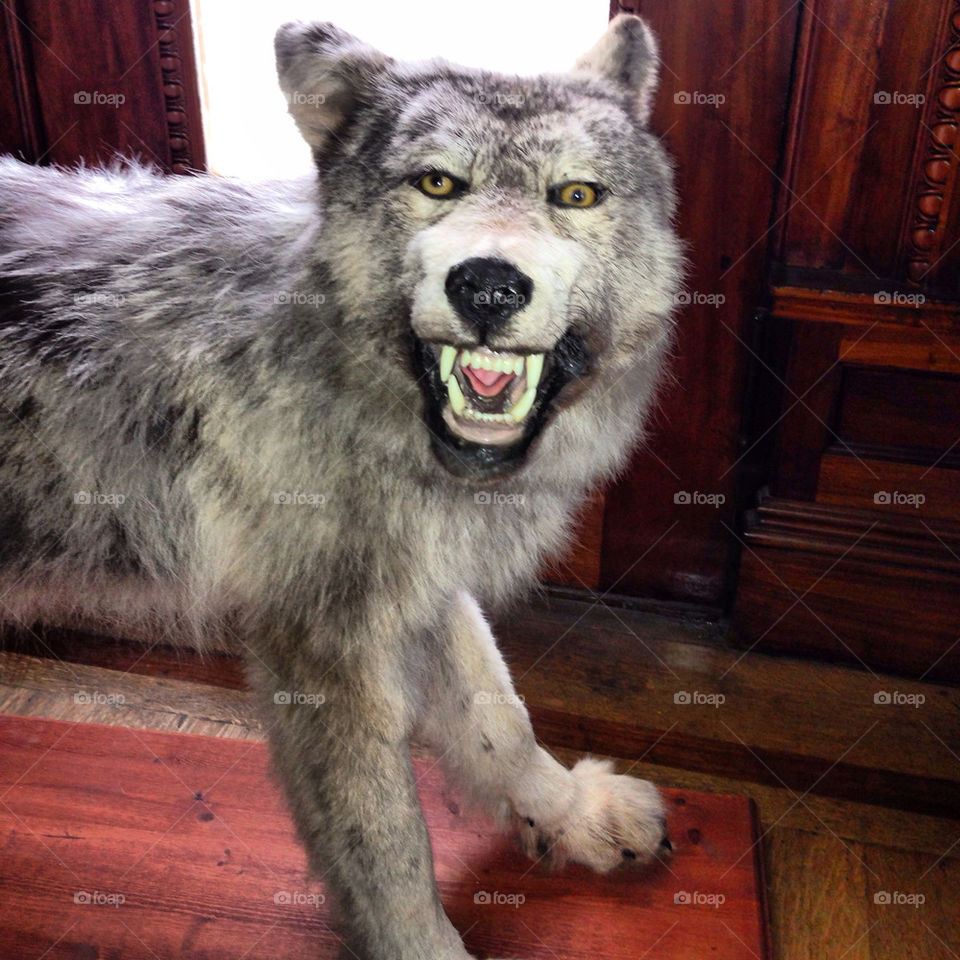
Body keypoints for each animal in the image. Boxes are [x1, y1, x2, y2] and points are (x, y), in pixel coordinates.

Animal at [0, 13, 682, 959]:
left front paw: (569, 813)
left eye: (575, 195)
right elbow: (387, 850)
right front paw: (426, 947)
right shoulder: (324, 649)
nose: (487, 285)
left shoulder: (423, 587)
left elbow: (499, 721)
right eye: (437, 183)